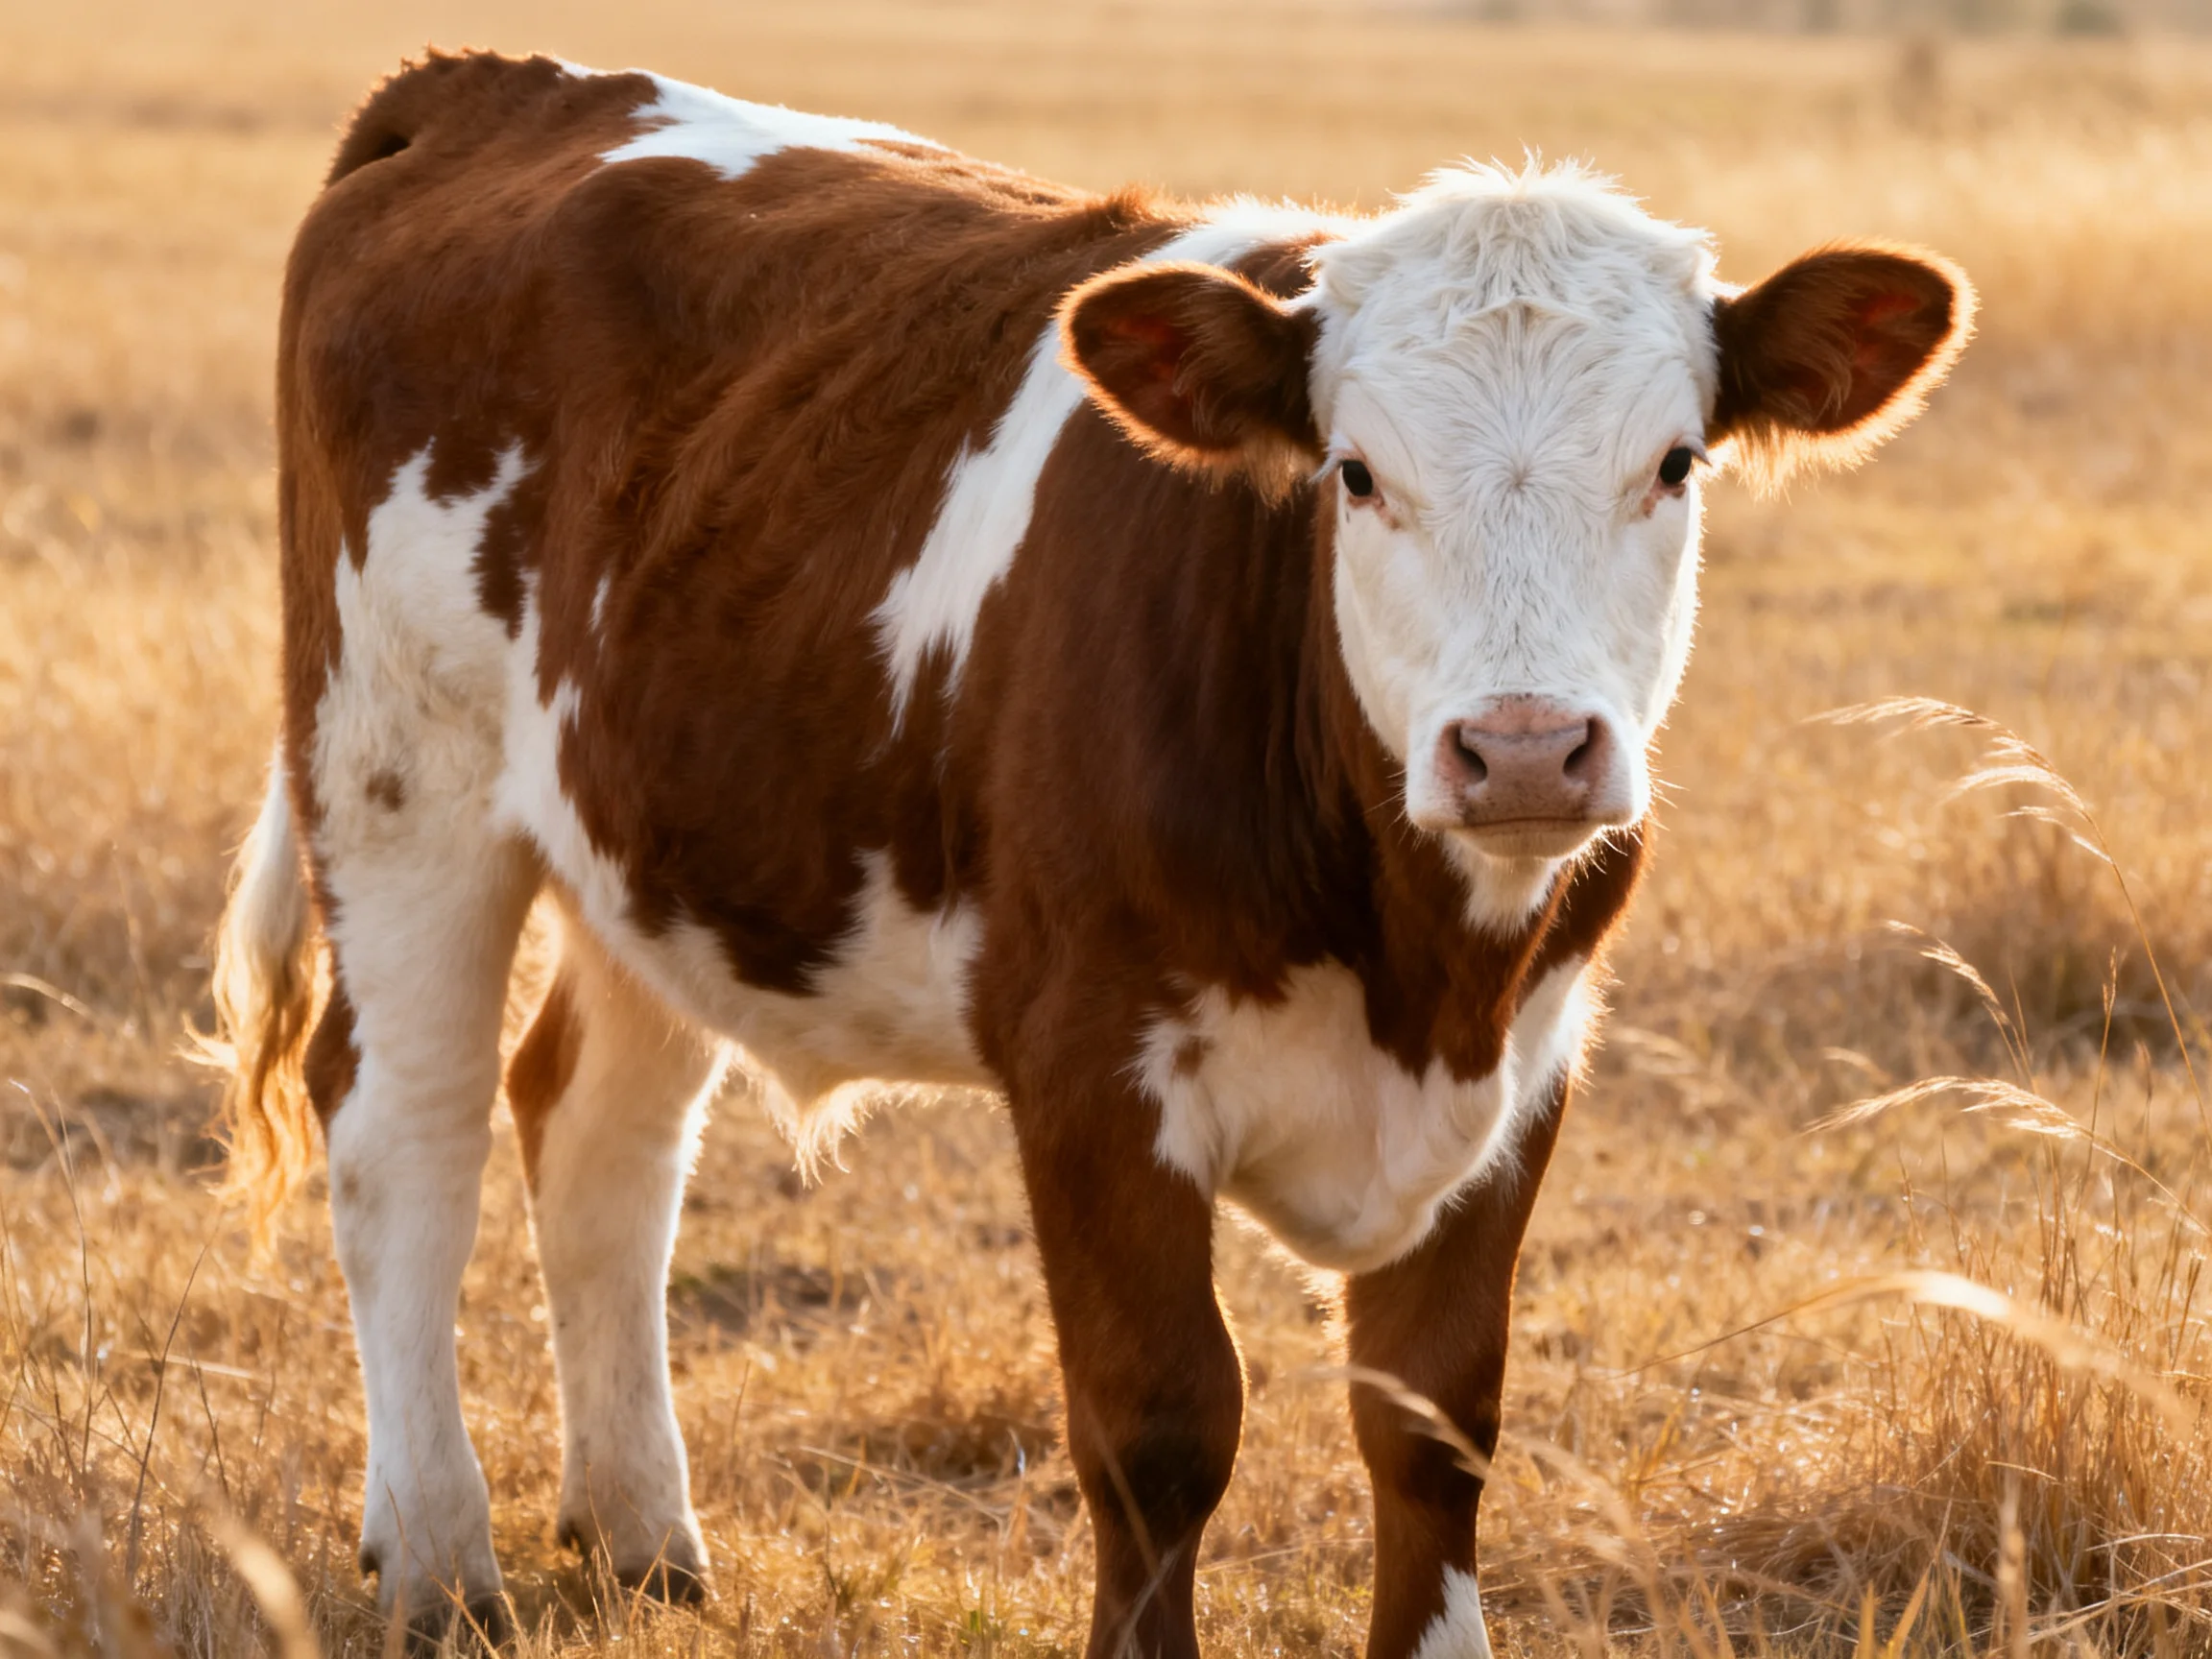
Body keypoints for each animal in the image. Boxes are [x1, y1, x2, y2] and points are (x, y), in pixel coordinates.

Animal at [209, 49, 1971, 1658]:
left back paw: (644, 1540)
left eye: (1673, 463)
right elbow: (1158, 1426)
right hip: (396, 779)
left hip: (651, 840)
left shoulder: (1530, 1056)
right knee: (403, 1132)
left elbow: (1434, 1419)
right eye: (1355, 475)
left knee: (596, 1133)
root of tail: (497, 84)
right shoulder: (1085, 1065)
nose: (1525, 745)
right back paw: (441, 1559)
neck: (1414, 967)